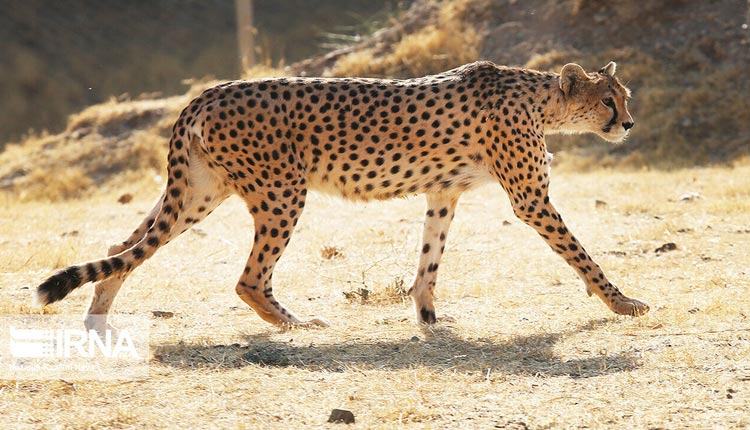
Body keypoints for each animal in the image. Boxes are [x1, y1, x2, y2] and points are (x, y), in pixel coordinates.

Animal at [35, 59, 648, 330]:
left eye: (623, 96)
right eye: (608, 100)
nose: (628, 123)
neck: (541, 100)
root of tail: (209, 90)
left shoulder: (443, 192)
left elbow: (429, 258)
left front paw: (426, 314)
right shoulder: (530, 200)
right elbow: (582, 254)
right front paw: (622, 302)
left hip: (199, 193)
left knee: (123, 246)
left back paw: (98, 315)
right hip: (282, 192)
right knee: (247, 279)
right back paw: (295, 324)